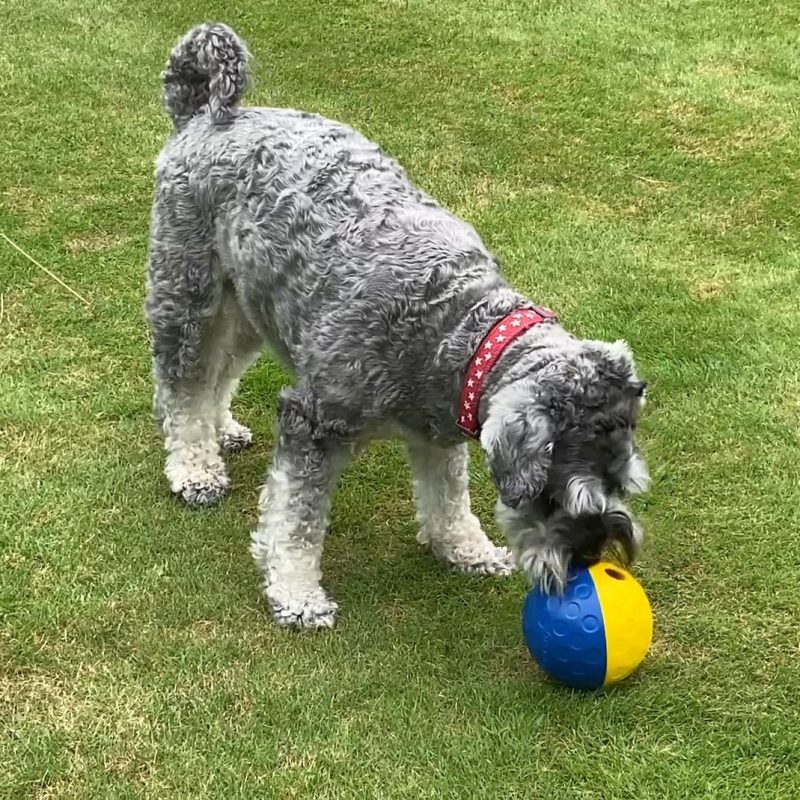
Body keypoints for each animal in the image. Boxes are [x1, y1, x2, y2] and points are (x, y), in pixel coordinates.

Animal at [148, 21, 648, 628]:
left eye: (624, 486)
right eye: (555, 499)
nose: (592, 559)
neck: (458, 326)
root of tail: (204, 115)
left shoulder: (443, 426)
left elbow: (448, 497)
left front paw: (467, 549)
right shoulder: (313, 423)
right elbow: (294, 520)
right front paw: (296, 594)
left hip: (252, 307)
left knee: (220, 372)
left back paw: (221, 428)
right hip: (188, 293)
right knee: (183, 382)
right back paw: (194, 467)